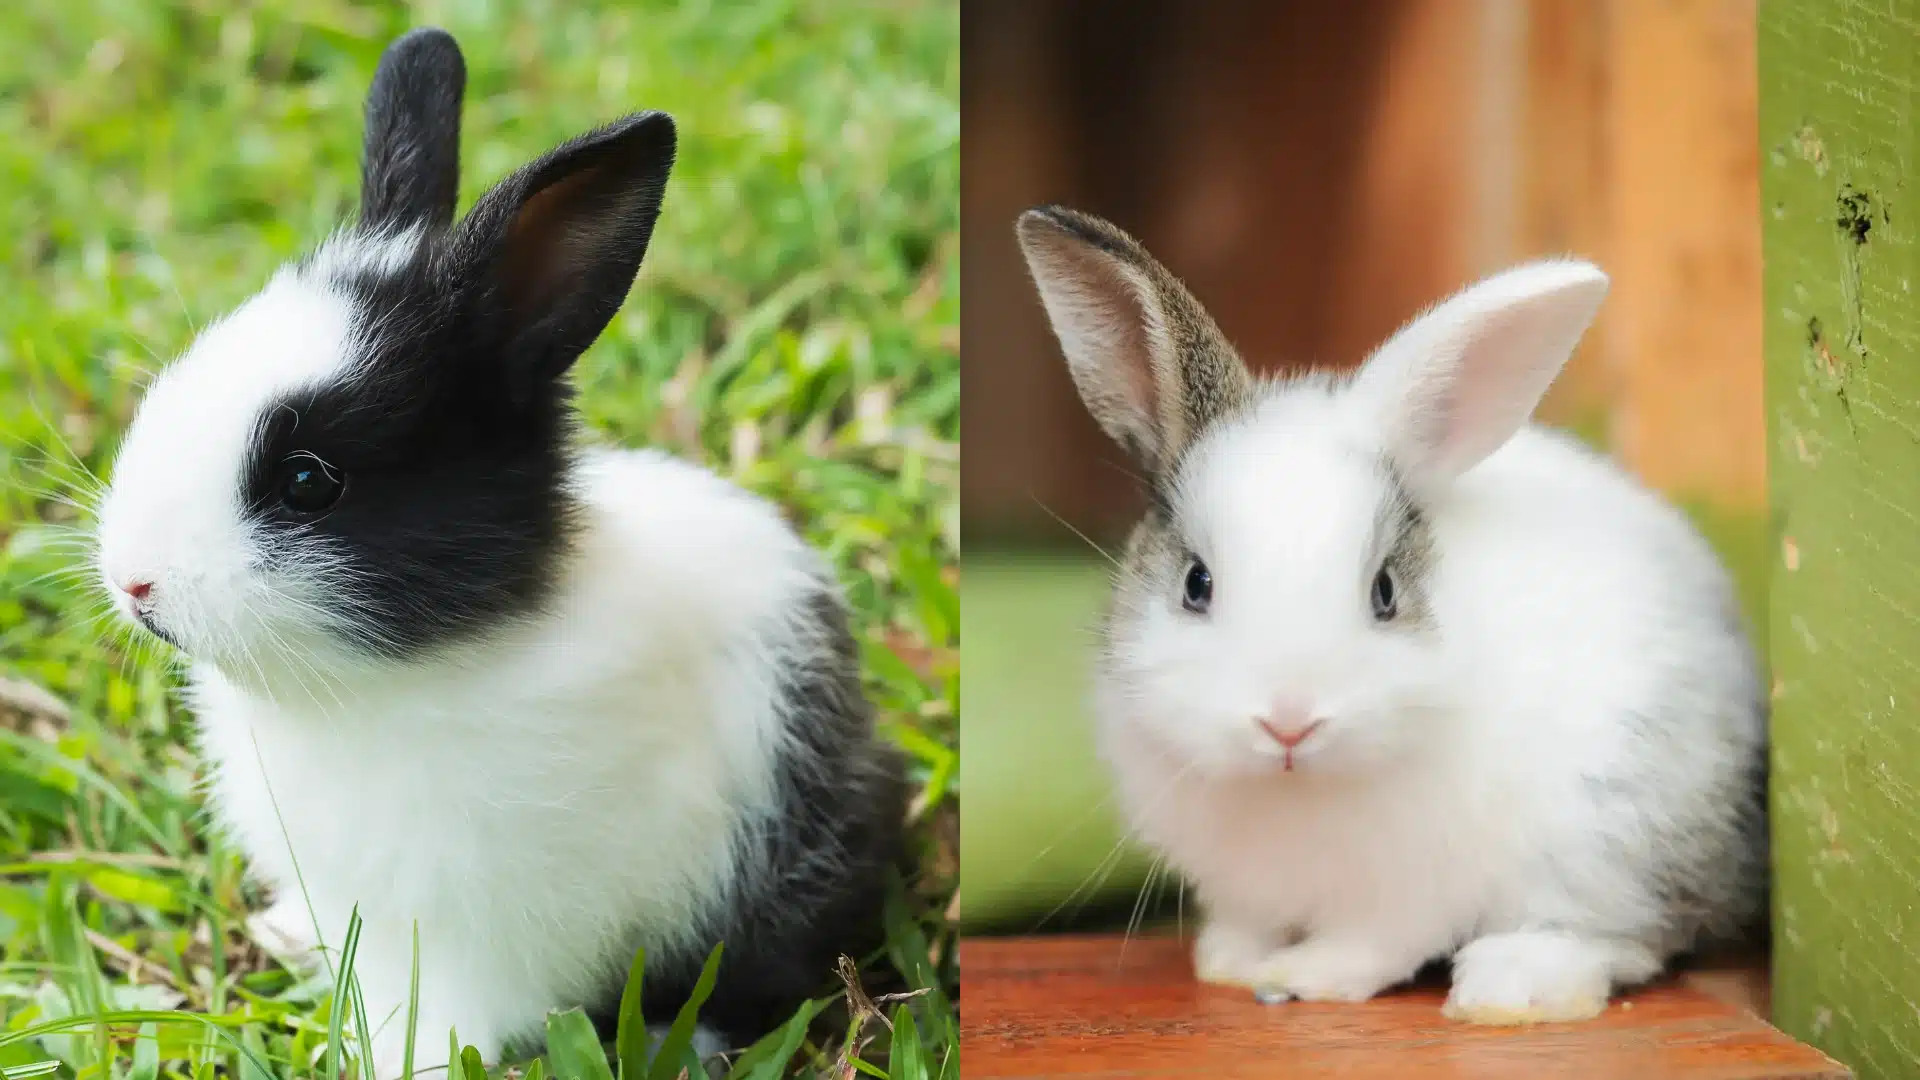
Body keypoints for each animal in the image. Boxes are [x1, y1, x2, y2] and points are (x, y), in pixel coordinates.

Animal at [91, 26, 907, 1076]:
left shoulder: (477, 938)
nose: (133, 581)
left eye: (309, 482)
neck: (394, 678)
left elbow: (451, 1014)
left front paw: (408, 1062)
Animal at [1015, 205, 1767, 1024]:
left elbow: (1374, 945)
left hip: (1613, 832)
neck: (1295, 789)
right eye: (1196, 583)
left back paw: (1507, 988)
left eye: (1384, 593)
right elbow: (1248, 923)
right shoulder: (1243, 887)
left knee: (1618, 935)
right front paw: (1228, 964)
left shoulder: (1411, 893)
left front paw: (1304, 976)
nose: (1288, 722)